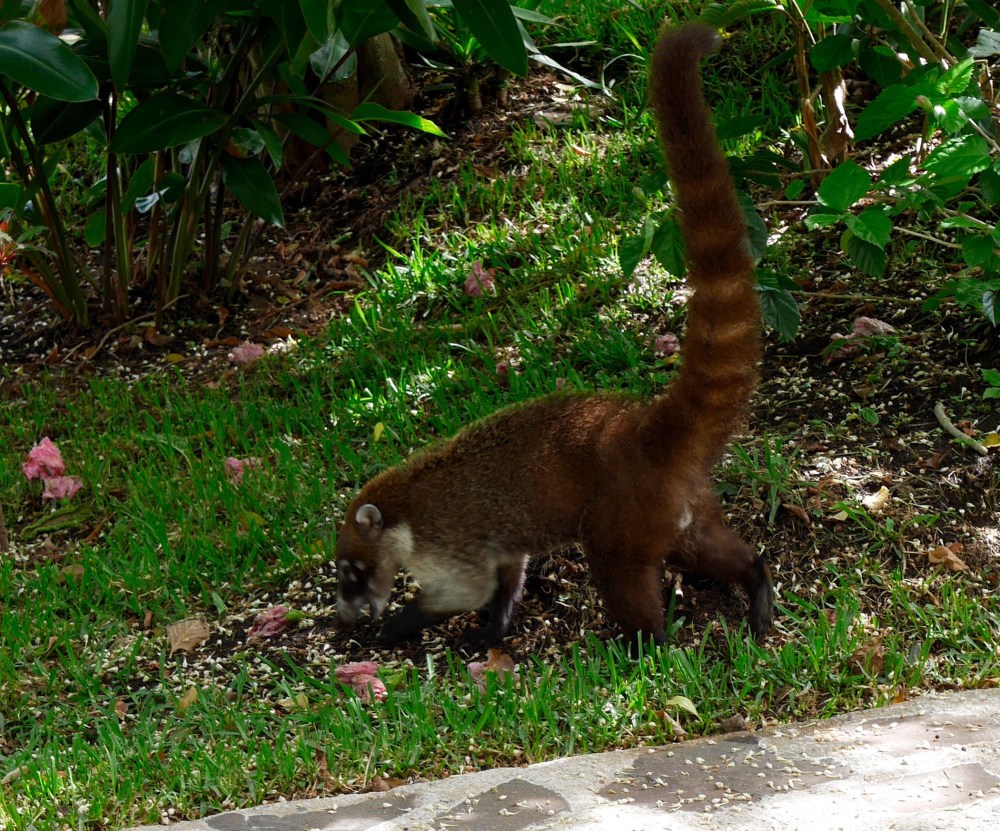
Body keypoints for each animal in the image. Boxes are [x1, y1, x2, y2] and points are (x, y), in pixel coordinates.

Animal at [335, 23, 774, 650]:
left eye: (353, 570)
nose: (346, 618)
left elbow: (463, 589)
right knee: (705, 548)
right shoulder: (495, 544)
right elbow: (506, 573)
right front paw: (494, 625)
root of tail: (646, 427)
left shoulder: (445, 541)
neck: (401, 502)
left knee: (620, 571)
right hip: (682, 504)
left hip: (621, 516)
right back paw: (755, 578)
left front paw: (400, 625)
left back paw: (644, 643)